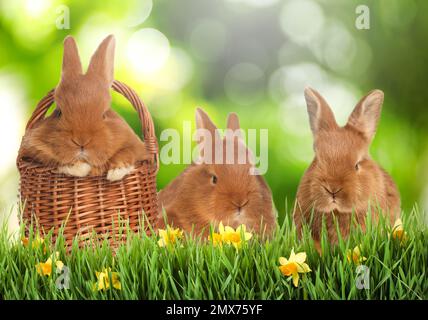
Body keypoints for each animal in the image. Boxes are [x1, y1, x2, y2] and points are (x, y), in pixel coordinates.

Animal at [18, 35, 150, 181]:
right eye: (59, 112)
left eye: (104, 114)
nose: (81, 141)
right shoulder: (31, 149)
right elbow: (53, 160)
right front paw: (81, 168)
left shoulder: (136, 146)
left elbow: (127, 153)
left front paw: (116, 172)